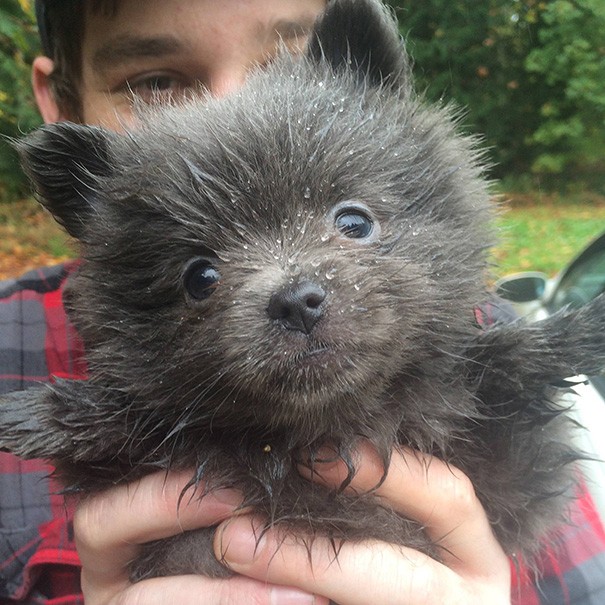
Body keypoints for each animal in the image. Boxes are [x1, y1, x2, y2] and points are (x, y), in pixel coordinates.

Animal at [1, 0, 604, 584]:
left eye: (354, 222)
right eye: (199, 276)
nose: (295, 300)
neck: (324, 431)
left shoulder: (507, 465)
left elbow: (487, 362)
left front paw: (569, 335)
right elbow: (151, 421)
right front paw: (51, 413)